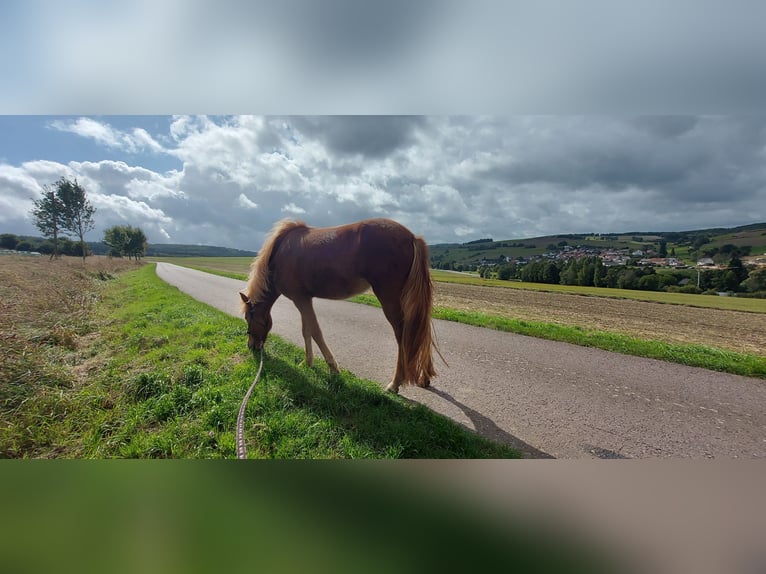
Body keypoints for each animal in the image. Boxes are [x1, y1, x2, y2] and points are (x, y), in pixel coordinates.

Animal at [239, 218, 440, 393]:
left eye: (249, 318)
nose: (252, 346)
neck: (280, 254)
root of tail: (412, 237)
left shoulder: (300, 299)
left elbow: (316, 332)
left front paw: (333, 367)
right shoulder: (304, 299)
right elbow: (307, 331)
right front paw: (307, 363)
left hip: (391, 302)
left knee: (404, 337)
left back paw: (395, 383)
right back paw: (424, 378)